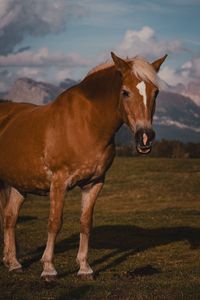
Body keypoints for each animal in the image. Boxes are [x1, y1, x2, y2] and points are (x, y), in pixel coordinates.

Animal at [0, 51, 166, 282]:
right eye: (125, 92)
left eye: (155, 92)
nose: (145, 137)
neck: (87, 124)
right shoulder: (59, 182)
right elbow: (55, 222)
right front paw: (49, 269)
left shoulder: (94, 183)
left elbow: (86, 223)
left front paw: (85, 268)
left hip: (18, 184)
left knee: (10, 218)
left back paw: (13, 263)